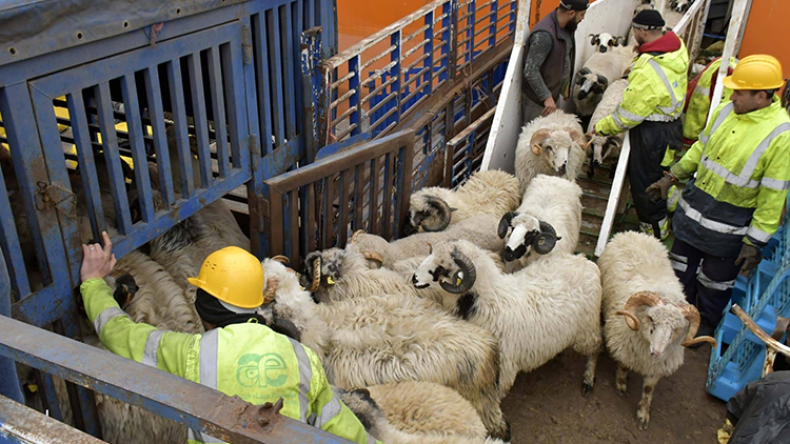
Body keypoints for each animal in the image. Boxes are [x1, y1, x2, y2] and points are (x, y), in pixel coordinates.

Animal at [412, 239, 603, 396]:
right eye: (430, 253)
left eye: (442, 268)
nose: (414, 278)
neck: (487, 301)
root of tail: (586, 261)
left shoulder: (504, 369)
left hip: (587, 329)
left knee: (596, 348)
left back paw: (588, 380)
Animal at [597, 231, 717, 430]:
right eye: (652, 320)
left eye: (676, 329)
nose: (657, 352)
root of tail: (634, 233)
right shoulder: (625, 346)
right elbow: (623, 366)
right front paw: (621, 384)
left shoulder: (659, 366)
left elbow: (648, 389)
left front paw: (643, 414)